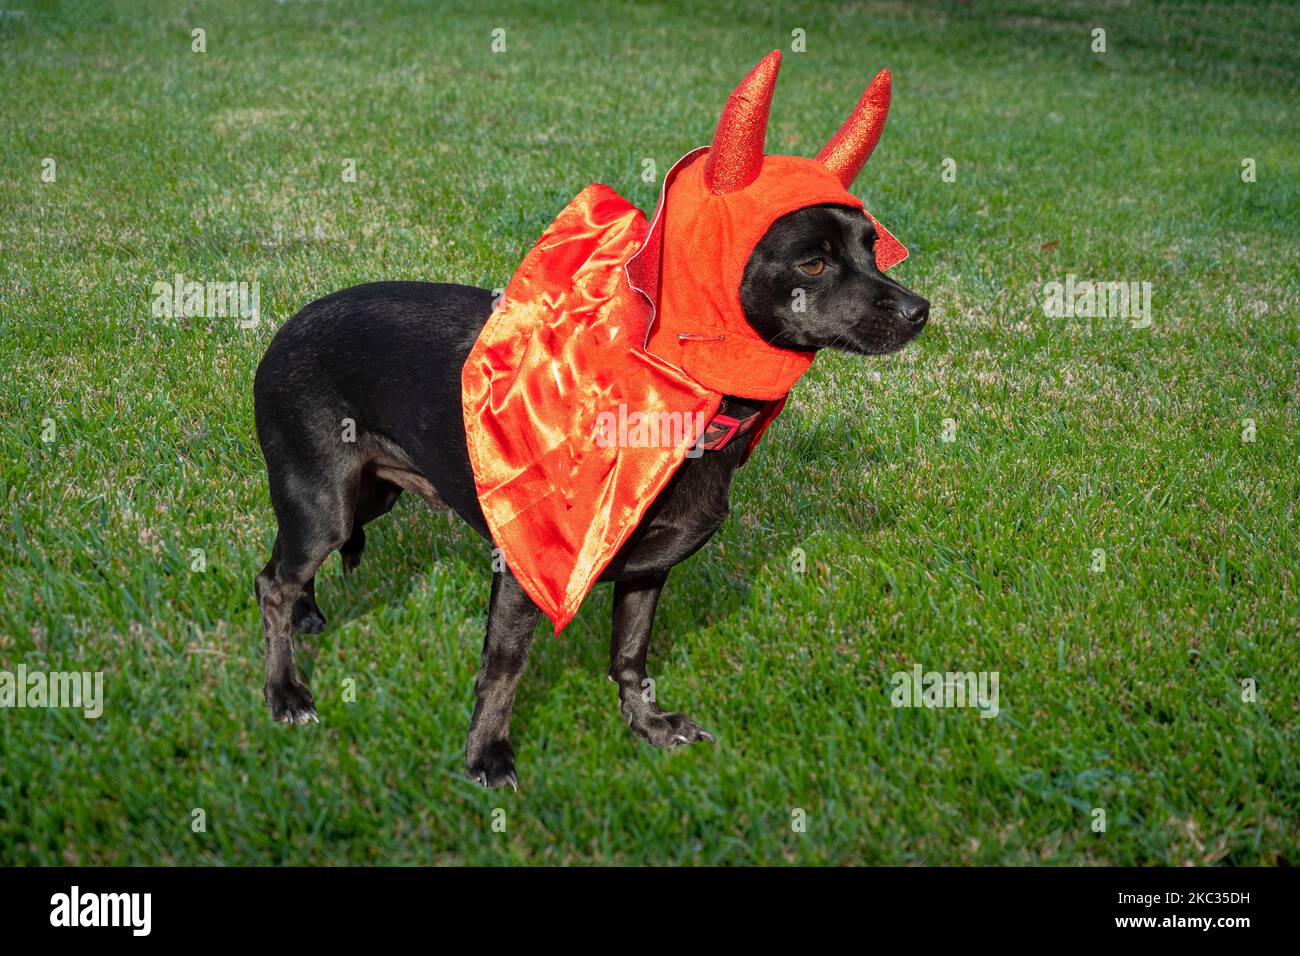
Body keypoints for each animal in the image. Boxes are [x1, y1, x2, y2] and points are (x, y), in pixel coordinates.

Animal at [253, 201, 925, 785]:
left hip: (364, 496)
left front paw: (649, 727)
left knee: (281, 567)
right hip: (325, 504)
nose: (920, 310)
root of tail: (285, 329)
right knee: (272, 583)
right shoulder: (528, 570)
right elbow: (503, 667)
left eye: (872, 248)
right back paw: (285, 693)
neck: (679, 408)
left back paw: (307, 616)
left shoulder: (648, 570)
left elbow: (631, 657)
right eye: (812, 263)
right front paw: (485, 757)